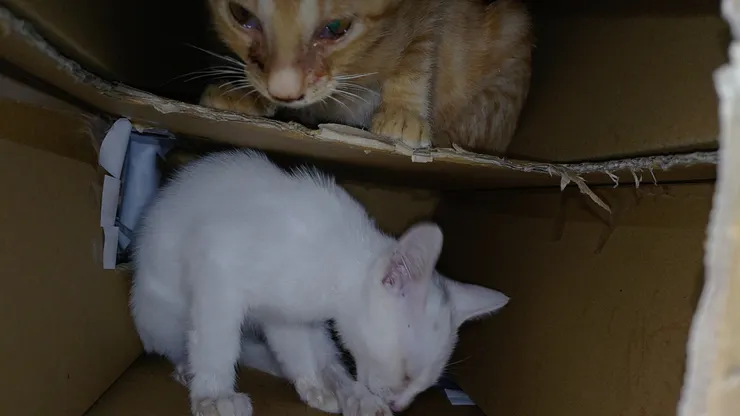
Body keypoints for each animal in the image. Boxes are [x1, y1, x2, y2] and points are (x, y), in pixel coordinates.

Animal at [129, 149, 509, 416]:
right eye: (405, 373)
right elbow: (217, 339)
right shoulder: (218, 263)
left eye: (427, 383)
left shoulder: (285, 316)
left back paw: (351, 395)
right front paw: (214, 394)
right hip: (160, 311)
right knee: (176, 340)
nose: (401, 406)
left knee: (328, 360)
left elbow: (297, 350)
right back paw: (185, 368)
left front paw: (314, 386)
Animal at [199, 0, 533, 154]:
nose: (284, 92)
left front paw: (403, 113)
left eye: (336, 27)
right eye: (241, 14)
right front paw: (245, 95)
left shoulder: (432, 10)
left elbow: (416, 52)